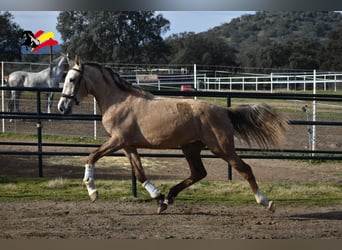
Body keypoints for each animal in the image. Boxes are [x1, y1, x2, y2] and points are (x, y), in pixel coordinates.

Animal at [57, 57, 288, 215]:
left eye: (73, 79)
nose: (62, 107)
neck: (119, 101)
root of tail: (224, 111)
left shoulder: (117, 141)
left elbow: (91, 156)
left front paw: (92, 191)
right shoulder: (128, 145)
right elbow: (139, 173)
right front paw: (159, 199)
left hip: (222, 148)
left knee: (245, 169)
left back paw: (266, 202)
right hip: (191, 147)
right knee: (199, 173)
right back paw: (169, 197)